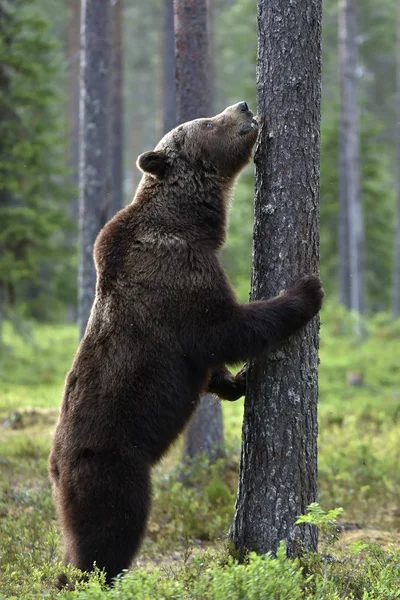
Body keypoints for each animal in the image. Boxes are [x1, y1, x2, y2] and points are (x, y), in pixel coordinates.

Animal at [49, 101, 324, 584]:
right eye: (210, 122)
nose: (244, 105)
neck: (190, 222)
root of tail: (55, 467)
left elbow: (210, 359)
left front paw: (237, 382)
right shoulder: (175, 272)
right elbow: (226, 328)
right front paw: (306, 290)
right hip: (112, 465)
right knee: (111, 529)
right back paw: (103, 578)